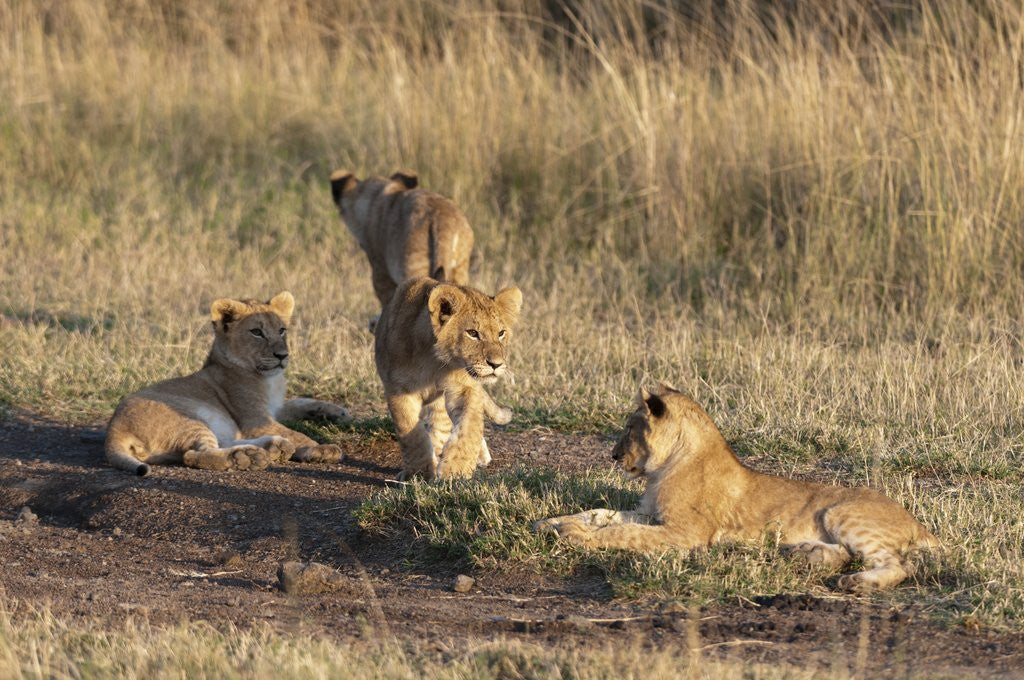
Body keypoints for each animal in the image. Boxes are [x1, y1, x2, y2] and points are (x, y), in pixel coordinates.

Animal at [104, 292, 348, 476]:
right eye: (257, 332)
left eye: (281, 330)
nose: (282, 355)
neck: (270, 379)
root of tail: (114, 429)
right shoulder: (255, 420)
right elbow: (297, 434)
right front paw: (321, 449)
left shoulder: (274, 408)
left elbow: (300, 402)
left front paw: (338, 412)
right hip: (189, 419)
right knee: (195, 455)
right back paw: (247, 457)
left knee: (219, 442)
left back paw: (273, 447)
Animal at [374, 276, 522, 480]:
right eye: (473, 333)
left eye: (501, 333)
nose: (496, 364)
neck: (433, 359)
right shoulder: (398, 390)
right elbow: (411, 433)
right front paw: (418, 473)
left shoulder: (464, 386)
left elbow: (469, 427)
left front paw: (456, 470)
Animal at [535, 384, 940, 592]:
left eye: (631, 428)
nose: (614, 455)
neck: (664, 468)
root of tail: (918, 523)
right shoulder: (651, 514)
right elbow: (601, 513)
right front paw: (551, 523)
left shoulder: (687, 533)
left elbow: (621, 532)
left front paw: (574, 536)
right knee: (845, 554)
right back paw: (804, 553)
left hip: (843, 514)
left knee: (898, 565)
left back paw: (857, 582)